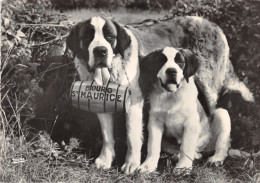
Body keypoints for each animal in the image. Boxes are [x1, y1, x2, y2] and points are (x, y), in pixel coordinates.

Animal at [65, 15, 254, 174]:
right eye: (87, 37)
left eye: (110, 37)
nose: (101, 51)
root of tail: (213, 26)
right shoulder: (100, 100)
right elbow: (107, 135)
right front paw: (105, 160)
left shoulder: (133, 101)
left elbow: (132, 135)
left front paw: (131, 164)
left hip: (209, 92)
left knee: (215, 123)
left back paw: (215, 156)